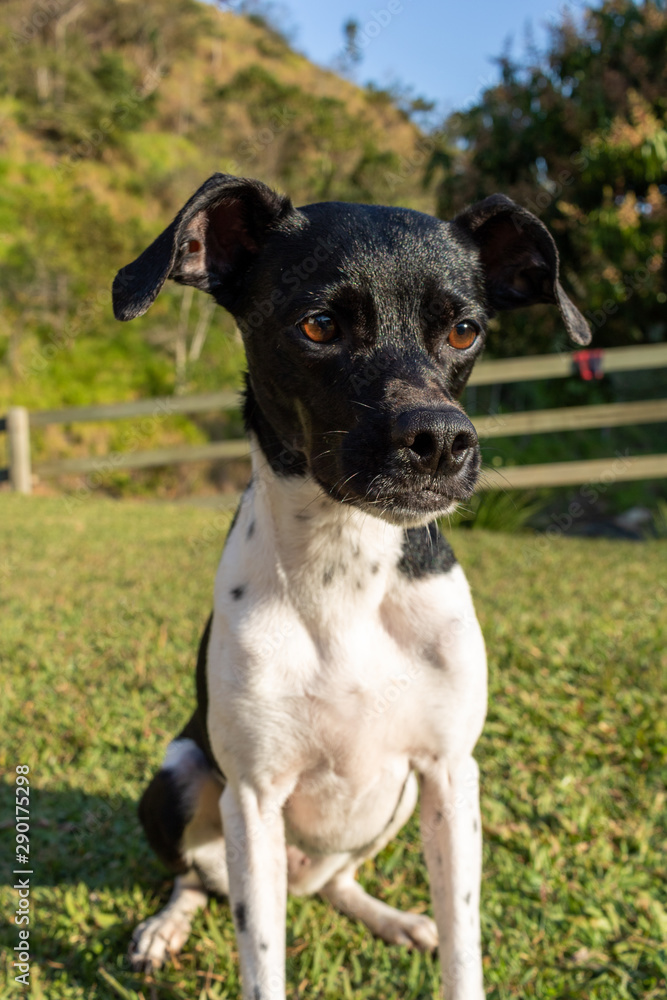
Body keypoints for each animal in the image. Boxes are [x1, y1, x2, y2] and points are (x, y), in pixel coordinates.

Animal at [112, 176, 592, 996]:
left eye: (464, 331)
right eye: (320, 324)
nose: (440, 441)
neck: (346, 567)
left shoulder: (448, 775)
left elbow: (464, 943)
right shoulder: (253, 795)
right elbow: (259, 959)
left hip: (388, 811)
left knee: (338, 882)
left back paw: (391, 919)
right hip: (181, 779)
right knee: (198, 880)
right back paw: (164, 927)